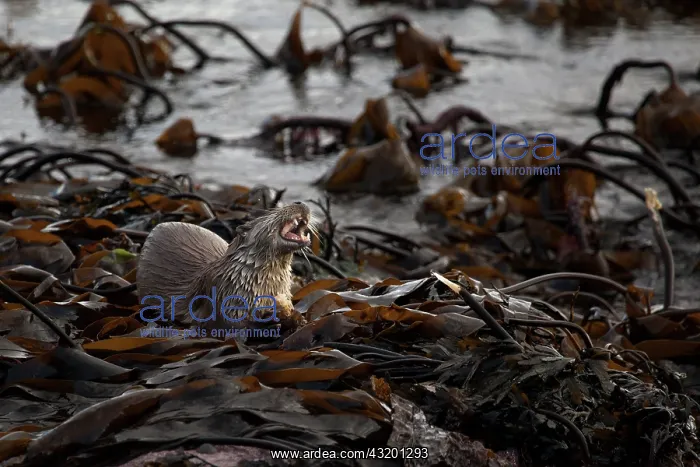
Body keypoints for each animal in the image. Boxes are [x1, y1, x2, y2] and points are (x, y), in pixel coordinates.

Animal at [136, 202, 313, 331]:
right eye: (271, 211)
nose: (299, 202)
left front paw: (297, 317)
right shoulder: (222, 296)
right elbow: (229, 324)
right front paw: (267, 321)